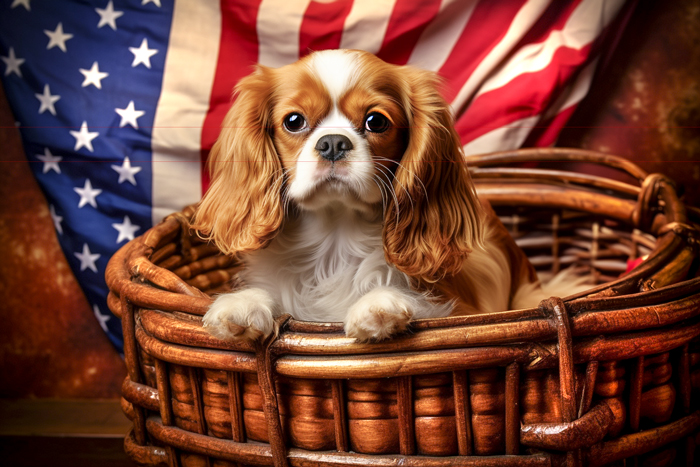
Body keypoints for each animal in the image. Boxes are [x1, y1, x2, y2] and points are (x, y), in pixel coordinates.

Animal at [190, 51, 540, 342]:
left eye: (376, 121)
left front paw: (380, 302)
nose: (333, 142)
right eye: (294, 121)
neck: (335, 241)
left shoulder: (467, 311)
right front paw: (244, 303)